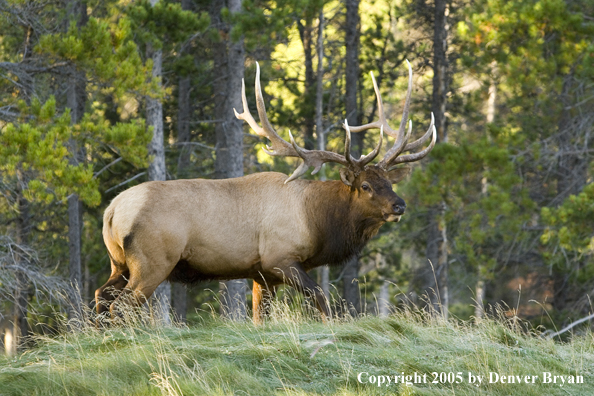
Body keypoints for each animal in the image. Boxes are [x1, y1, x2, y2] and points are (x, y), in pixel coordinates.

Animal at [95, 61, 432, 322]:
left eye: (390, 183)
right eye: (365, 185)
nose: (399, 205)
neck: (318, 222)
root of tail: (111, 211)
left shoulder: (261, 275)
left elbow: (261, 317)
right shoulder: (279, 258)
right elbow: (320, 297)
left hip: (119, 261)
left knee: (101, 295)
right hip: (153, 260)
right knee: (120, 305)